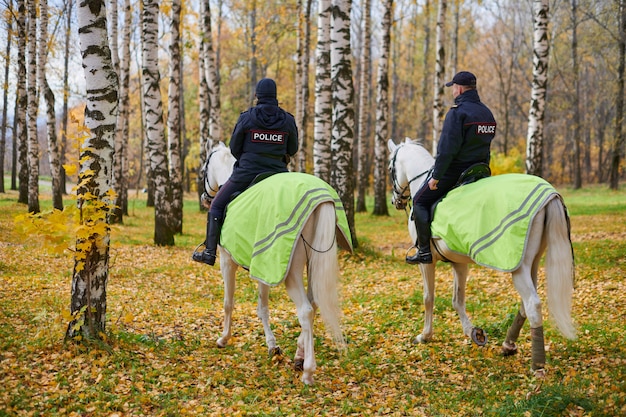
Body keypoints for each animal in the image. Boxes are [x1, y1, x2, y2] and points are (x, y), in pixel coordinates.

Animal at [200, 142, 346, 384]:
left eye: (203, 169)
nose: (204, 198)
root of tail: (321, 199)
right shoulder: (264, 266)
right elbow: (263, 307)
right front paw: (272, 346)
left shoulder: (227, 261)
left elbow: (228, 303)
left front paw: (223, 339)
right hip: (311, 264)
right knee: (314, 303)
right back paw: (299, 354)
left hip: (292, 271)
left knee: (306, 310)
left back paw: (308, 371)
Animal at [386, 137, 576, 374]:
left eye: (390, 168)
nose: (396, 201)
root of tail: (548, 193)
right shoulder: (459, 262)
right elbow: (458, 299)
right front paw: (472, 332)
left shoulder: (426, 263)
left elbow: (429, 298)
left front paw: (425, 336)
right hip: (532, 262)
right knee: (526, 303)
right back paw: (508, 345)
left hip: (519, 267)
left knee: (533, 304)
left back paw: (537, 366)